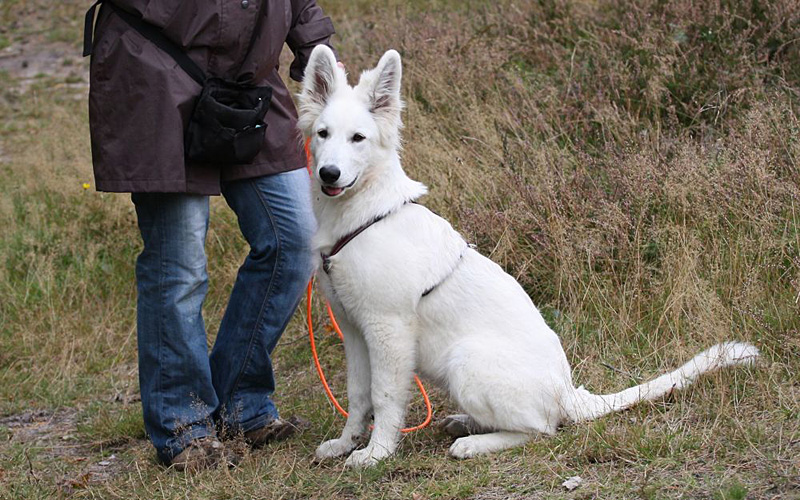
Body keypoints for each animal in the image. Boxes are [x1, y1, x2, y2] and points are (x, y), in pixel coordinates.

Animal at [297, 45, 759, 468]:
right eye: (322, 134)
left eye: (358, 139)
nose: (328, 174)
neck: (364, 215)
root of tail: (569, 393)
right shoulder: (354, 329)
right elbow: (358, 395)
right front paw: (347, 443)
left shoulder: (387, 331)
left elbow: (385, 397)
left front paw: (376, 454)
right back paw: (466, 423)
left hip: (465, 359)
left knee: (542, 429)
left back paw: (473, 442)